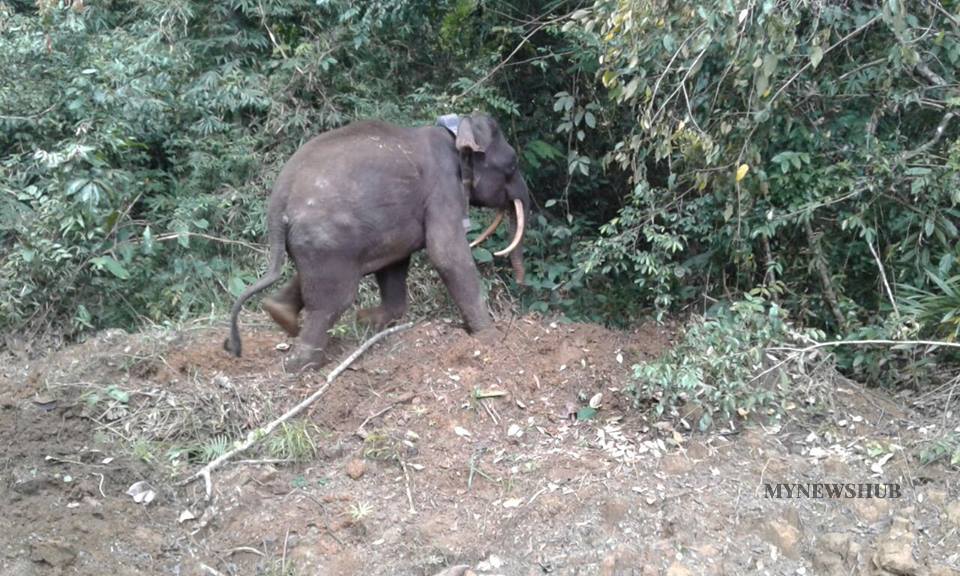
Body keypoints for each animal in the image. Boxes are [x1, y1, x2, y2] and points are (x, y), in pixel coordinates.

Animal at [226, 115, 532, 372]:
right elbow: (446, 254)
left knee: (312, 278)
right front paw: (490, 337)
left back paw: (280, 315)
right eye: (513, 164)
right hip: (326, 237)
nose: (521, 283)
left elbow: (396, 259)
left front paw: (366, 319)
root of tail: (279, 198)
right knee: (333, 299)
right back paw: (300, 364)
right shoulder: (443, 190)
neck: (454, 133)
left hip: (314, 242)